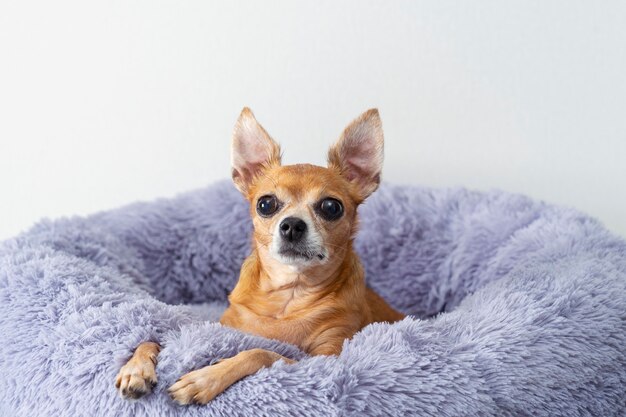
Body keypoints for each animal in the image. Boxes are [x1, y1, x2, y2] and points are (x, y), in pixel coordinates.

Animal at [114, 106, 402, 404]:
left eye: (331, 207)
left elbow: (260, 352)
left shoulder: (325, 360)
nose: (292, 225)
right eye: (266, 204)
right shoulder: (218, 327)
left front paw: (205, 378)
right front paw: (136, 368)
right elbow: (153, 338)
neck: (288, 295)